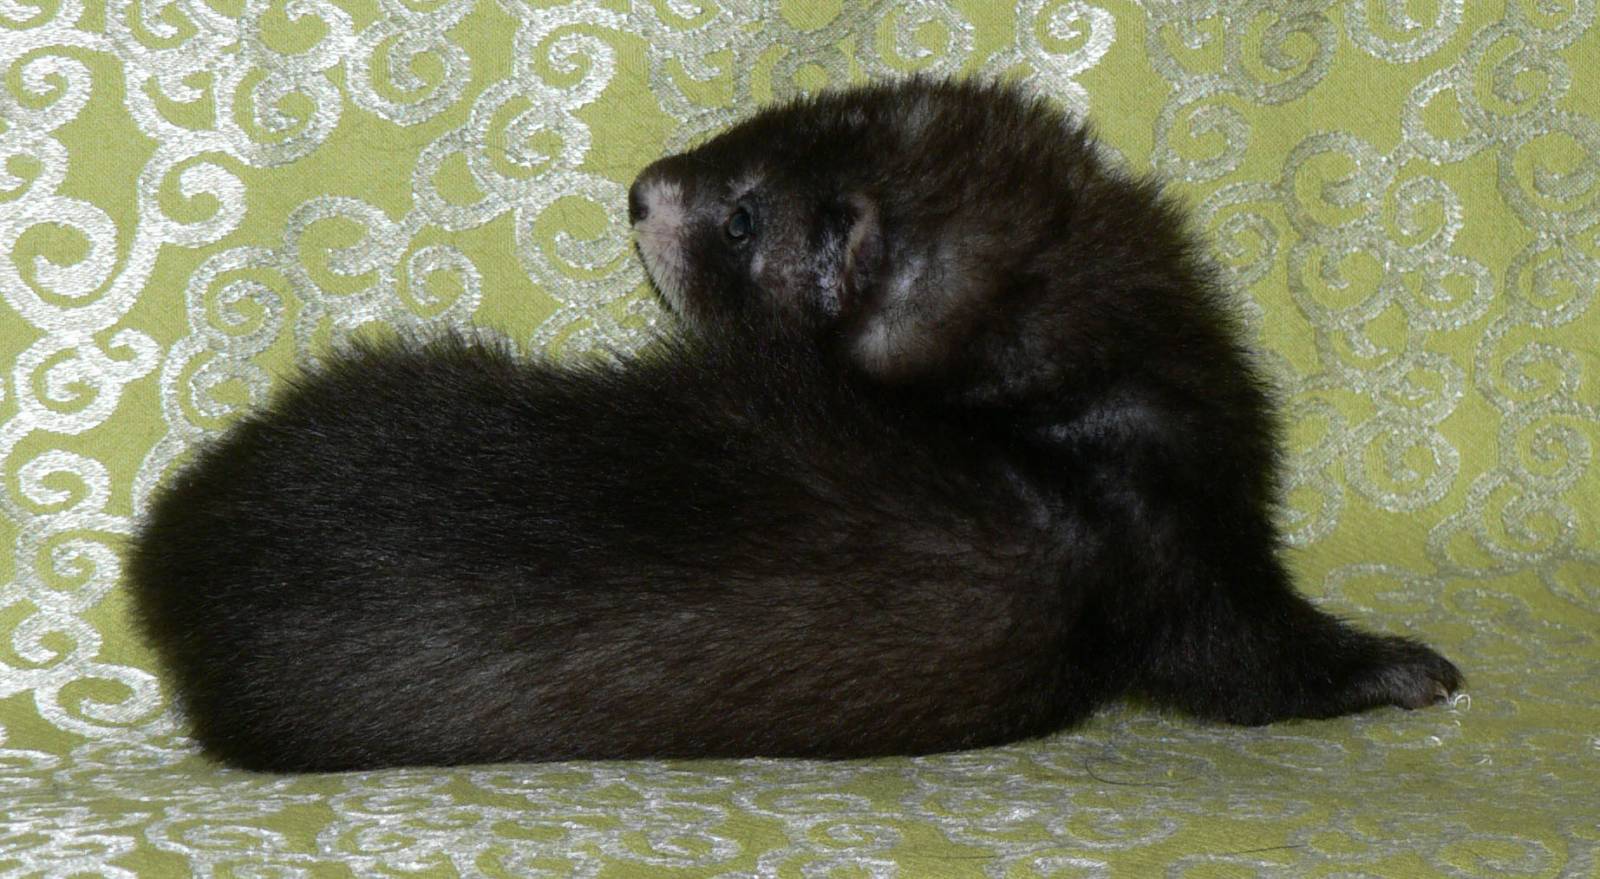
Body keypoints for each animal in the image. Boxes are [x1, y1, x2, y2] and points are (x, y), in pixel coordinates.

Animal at [128, 78, 1459, 772]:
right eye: (753, 143)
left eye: (743, 212)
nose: (643, 186)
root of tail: (178, 556)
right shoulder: (1185, 550)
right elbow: (1255, 662)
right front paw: (1404, 667)